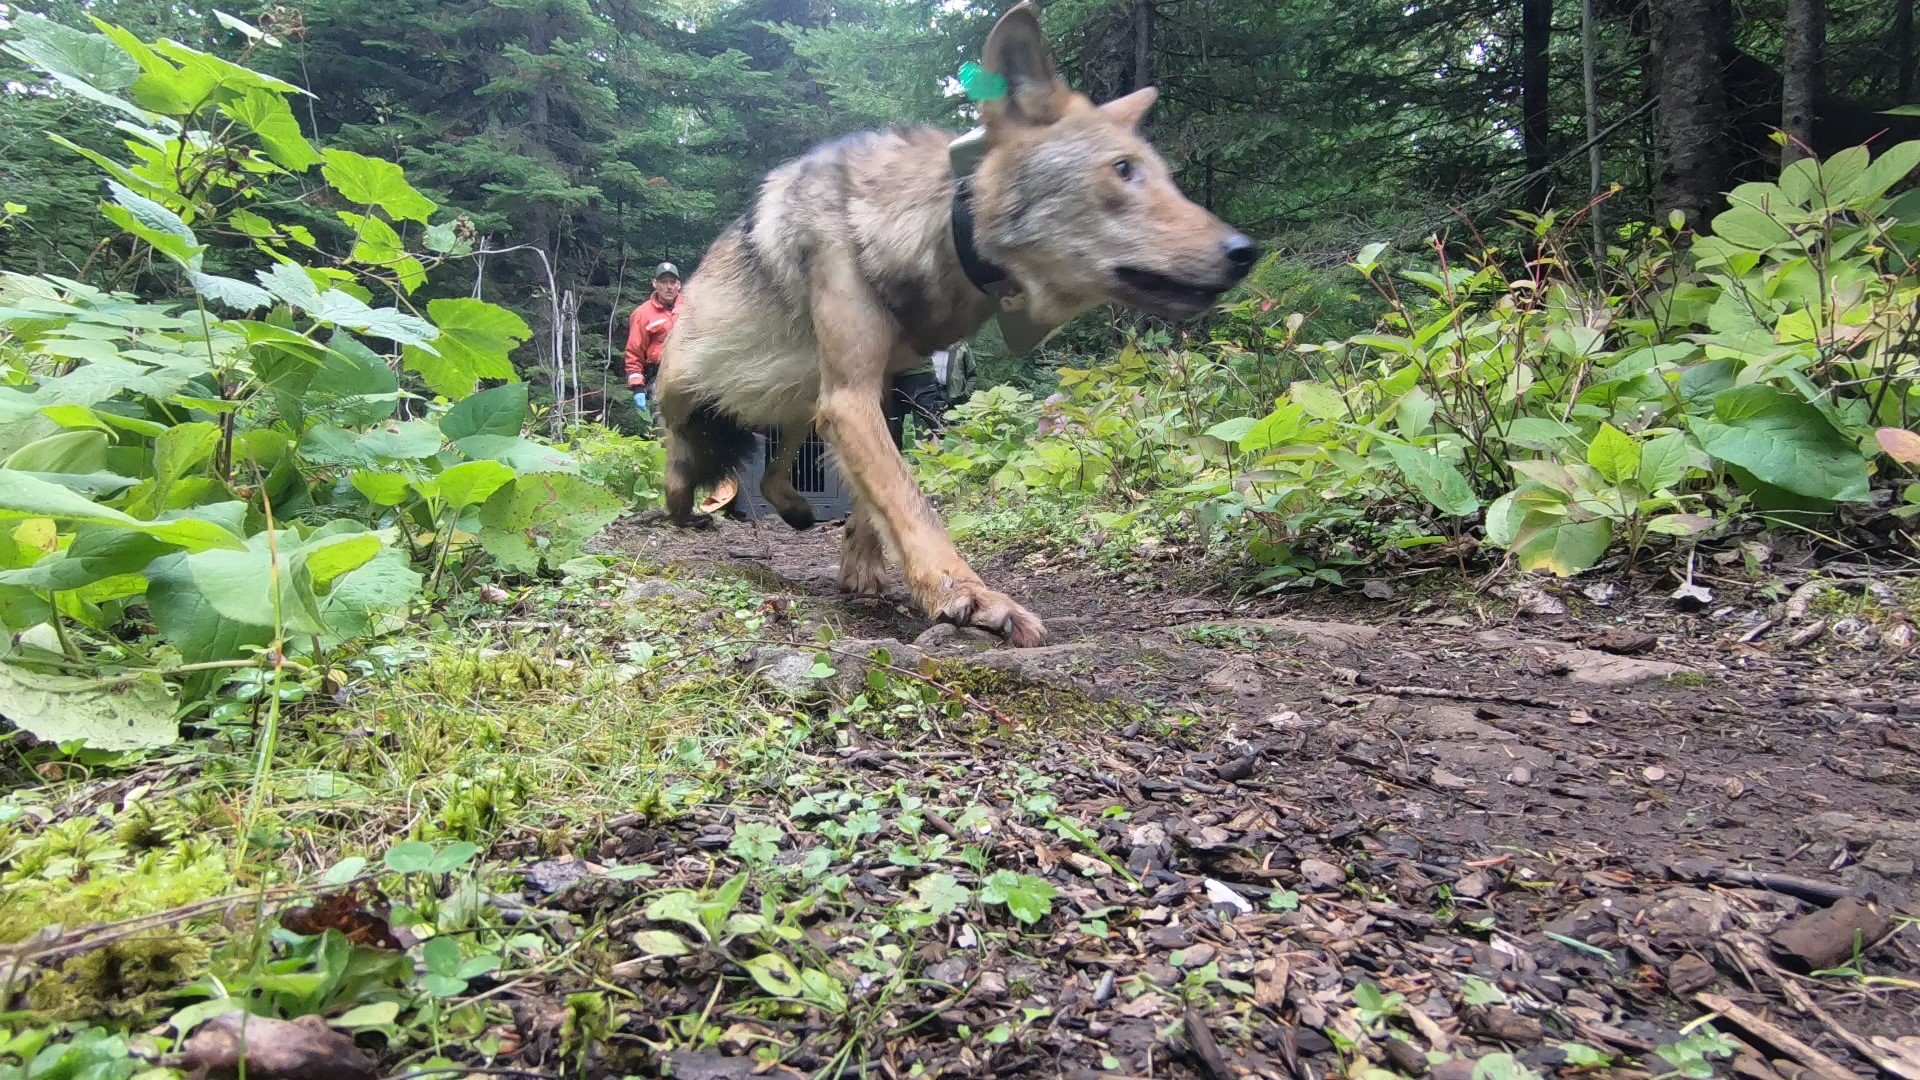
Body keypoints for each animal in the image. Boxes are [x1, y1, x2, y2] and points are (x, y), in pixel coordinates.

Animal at [656, 2, 1259, 645]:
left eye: (1166, 176)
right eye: (1123, 170)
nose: (1245, 251)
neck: (934, 226)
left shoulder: (877, 391)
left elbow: (876, 500)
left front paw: (862, 569)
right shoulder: (851, 398)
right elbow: (910, 499)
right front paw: (968, 596)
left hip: (800, 400)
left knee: (773, 474)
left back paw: (794, 511)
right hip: (691, 393)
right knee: (679, 460)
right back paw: (687, 508)